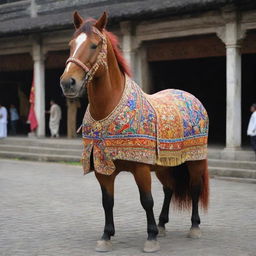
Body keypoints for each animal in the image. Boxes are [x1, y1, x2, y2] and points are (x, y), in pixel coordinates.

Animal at [60, 11, 210, 252]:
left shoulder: (141, 167)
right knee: (169, 188)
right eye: (71, 45)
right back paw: (163, 225)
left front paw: (151, 238)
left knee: (194, 188)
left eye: (93, 45)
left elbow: (146, 200)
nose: (68, 83)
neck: (109, 108)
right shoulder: (102, 167)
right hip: (164, 164)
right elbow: (107, 202)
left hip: (195, 160)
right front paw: (106, 236)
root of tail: (190, 96)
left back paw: (194, 227)